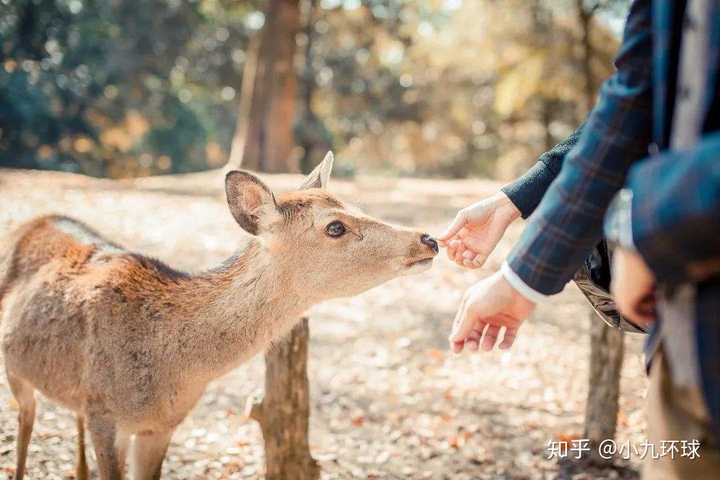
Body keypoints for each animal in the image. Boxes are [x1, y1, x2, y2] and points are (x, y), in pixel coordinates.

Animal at [0, 154, 438, 480]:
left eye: (354, 206)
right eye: (335, 226)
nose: (428, 239)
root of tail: (35, 219)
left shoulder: (161, 426)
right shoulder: (105, 416)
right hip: (15, 370)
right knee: (25, 421)